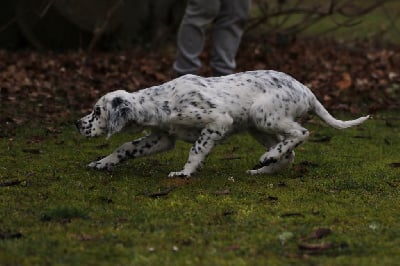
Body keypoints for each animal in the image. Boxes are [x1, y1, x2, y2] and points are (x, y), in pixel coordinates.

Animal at [75, 70, 368, 177]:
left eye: (97, 111)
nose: (77, 124)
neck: (162, 102)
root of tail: (307, 90)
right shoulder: (162, 137)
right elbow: (125, 147)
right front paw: (102, 163)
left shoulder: (218, 121)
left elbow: (196, 149)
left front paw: (185, 172)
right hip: (257, 126)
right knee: (289, 151)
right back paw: (265, 167)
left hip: (263, 115)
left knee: (301, 133)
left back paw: (268, 158)